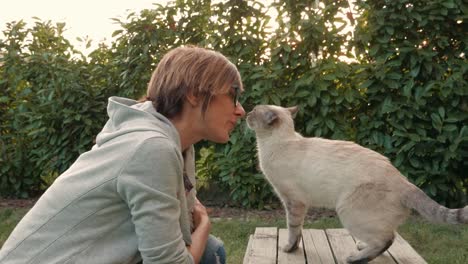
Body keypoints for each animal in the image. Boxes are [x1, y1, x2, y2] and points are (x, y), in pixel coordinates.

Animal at [247, 105, 466, 264]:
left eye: (254, 112)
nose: (246, 113)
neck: (277, 143)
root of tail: (404, 181)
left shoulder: (293, 202)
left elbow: (293, 229)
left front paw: (289, 249)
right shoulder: (295, 202)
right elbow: (298, 230)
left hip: (348, 212)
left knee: (386, 239)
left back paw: (355, 258)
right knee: (389, 234)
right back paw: (361, 247)